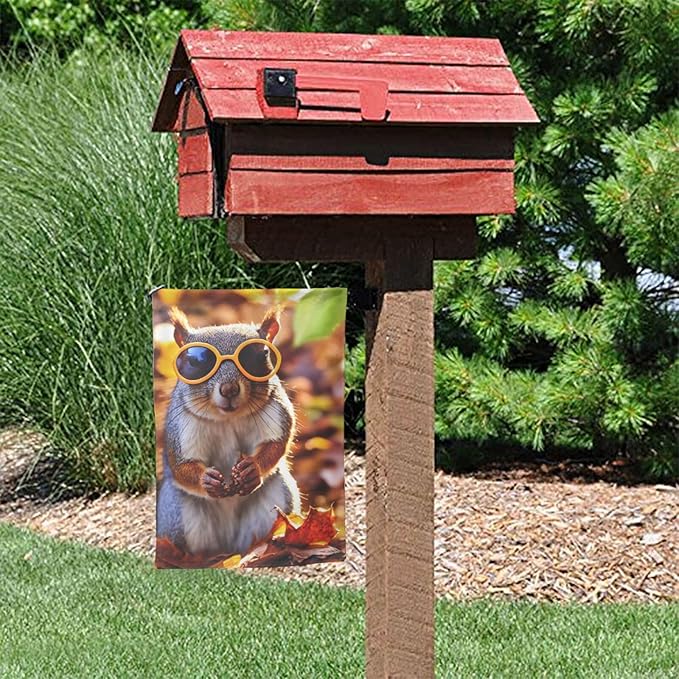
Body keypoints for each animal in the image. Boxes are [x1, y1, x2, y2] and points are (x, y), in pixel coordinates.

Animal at [156, 305, 300, 558]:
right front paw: (206, 479)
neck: (227, 417)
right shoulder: (180, 428)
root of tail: (229, 546)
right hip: (177, 515)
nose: (229, 389)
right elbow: (180, 464)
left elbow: (277, 444)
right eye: (194, 361)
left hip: (278, 497)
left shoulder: (275, 409)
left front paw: (253, 469)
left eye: (261, 354)